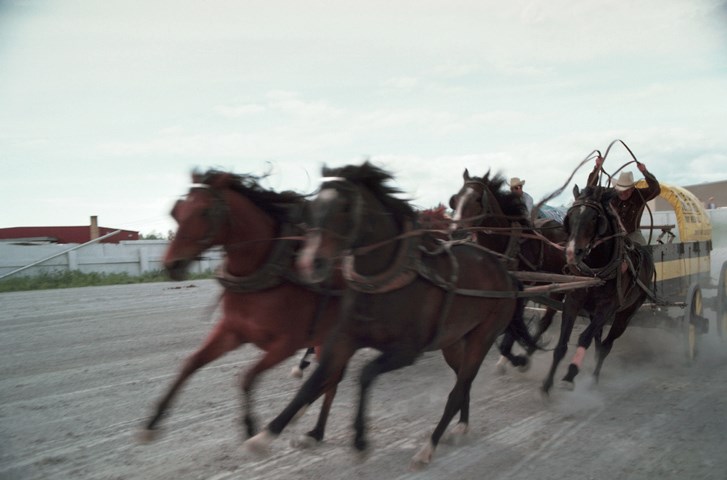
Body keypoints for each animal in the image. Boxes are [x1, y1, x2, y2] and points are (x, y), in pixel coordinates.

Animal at [141, 169, 342, 446]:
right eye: (176, 211)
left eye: (205, 211)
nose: (172, 265)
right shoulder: (232, 331)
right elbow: (191, 363)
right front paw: (153, 421)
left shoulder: (286, 344)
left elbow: (246, 377)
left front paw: (250, 426)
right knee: (332, 378)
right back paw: (315, 427)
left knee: (332, 379)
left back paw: (314, 426)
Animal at [246, 161, 540, 468]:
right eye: (314, 206)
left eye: (345, 207)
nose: (310, 262)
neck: (384, 281)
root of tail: (506, 275)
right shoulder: (344, 339)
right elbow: (316, 381)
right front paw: (264, 436)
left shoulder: (406, 351)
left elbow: (364, 375)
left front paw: (360, 440)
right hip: (453, 342)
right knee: (464, 380)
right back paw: (462, 425)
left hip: (481, 338)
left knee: (459, 387)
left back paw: (429, 446)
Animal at [450, 169, 568, 372]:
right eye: (456, 199)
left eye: (477, 199)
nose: (454, 231)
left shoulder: (522, 290)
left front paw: (513, 358)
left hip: (560, 282)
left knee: (547, 319)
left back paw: (528, 352)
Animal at [544, 184, 656, 394]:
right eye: (570, 216)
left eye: (594, 218)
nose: (571, 252)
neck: (596, 270)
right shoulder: (573, 302)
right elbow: (562, 343)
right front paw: (547, 384)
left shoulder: (608, 308)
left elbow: (584, 338)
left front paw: (569, 375)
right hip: (592, 311)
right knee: (599, 340)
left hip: (626, 313)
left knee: (606, 345)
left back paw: (594, 378)